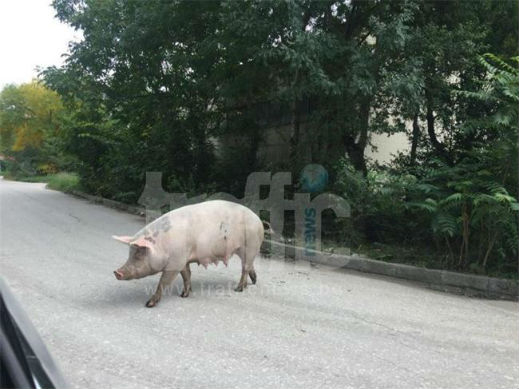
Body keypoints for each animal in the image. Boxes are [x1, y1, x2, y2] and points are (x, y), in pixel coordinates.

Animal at [112, 200, 264, 306]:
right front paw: (184, 295)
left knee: (245, 267)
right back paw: (252, 282)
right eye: (130, 252)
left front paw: (149, 304)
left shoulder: (175, 262)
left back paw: (238, 289)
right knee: (249, 266)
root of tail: (258, 219)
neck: (162, 245)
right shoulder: (183, 260)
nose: (116, 272)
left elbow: (163, 282)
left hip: (250, 245)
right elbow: (186, 275)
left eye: (139, 253)